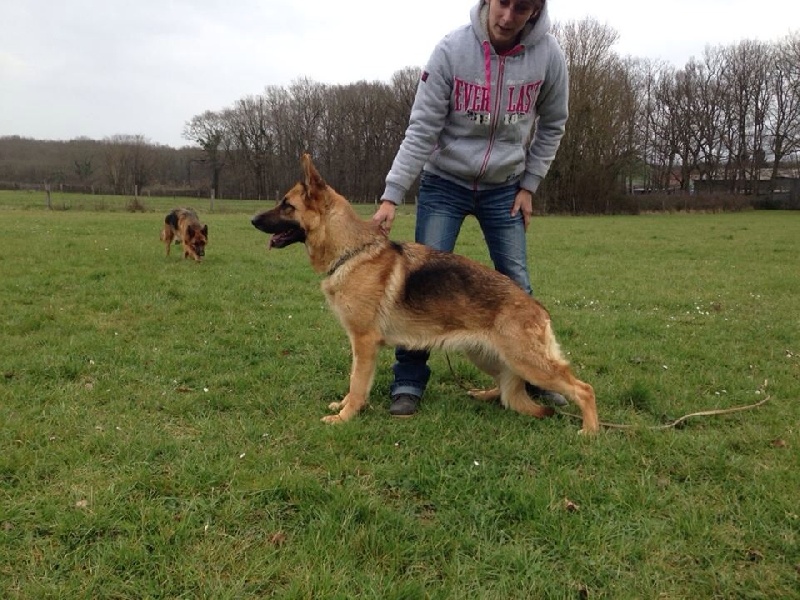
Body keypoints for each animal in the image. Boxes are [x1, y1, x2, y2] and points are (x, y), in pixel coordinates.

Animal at [253, 155, 596, 434]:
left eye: (287, 205)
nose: (252, 220)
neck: (352, 252)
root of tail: (538, 308)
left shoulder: (364, 343)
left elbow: (357, 381)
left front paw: (346, 416)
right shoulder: (361, 345)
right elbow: (354, 381)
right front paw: (345, 406)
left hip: (526, 361)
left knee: (583, 388)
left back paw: (590, 431)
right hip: (485, 354)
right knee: (507, 387)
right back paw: (486, 395)